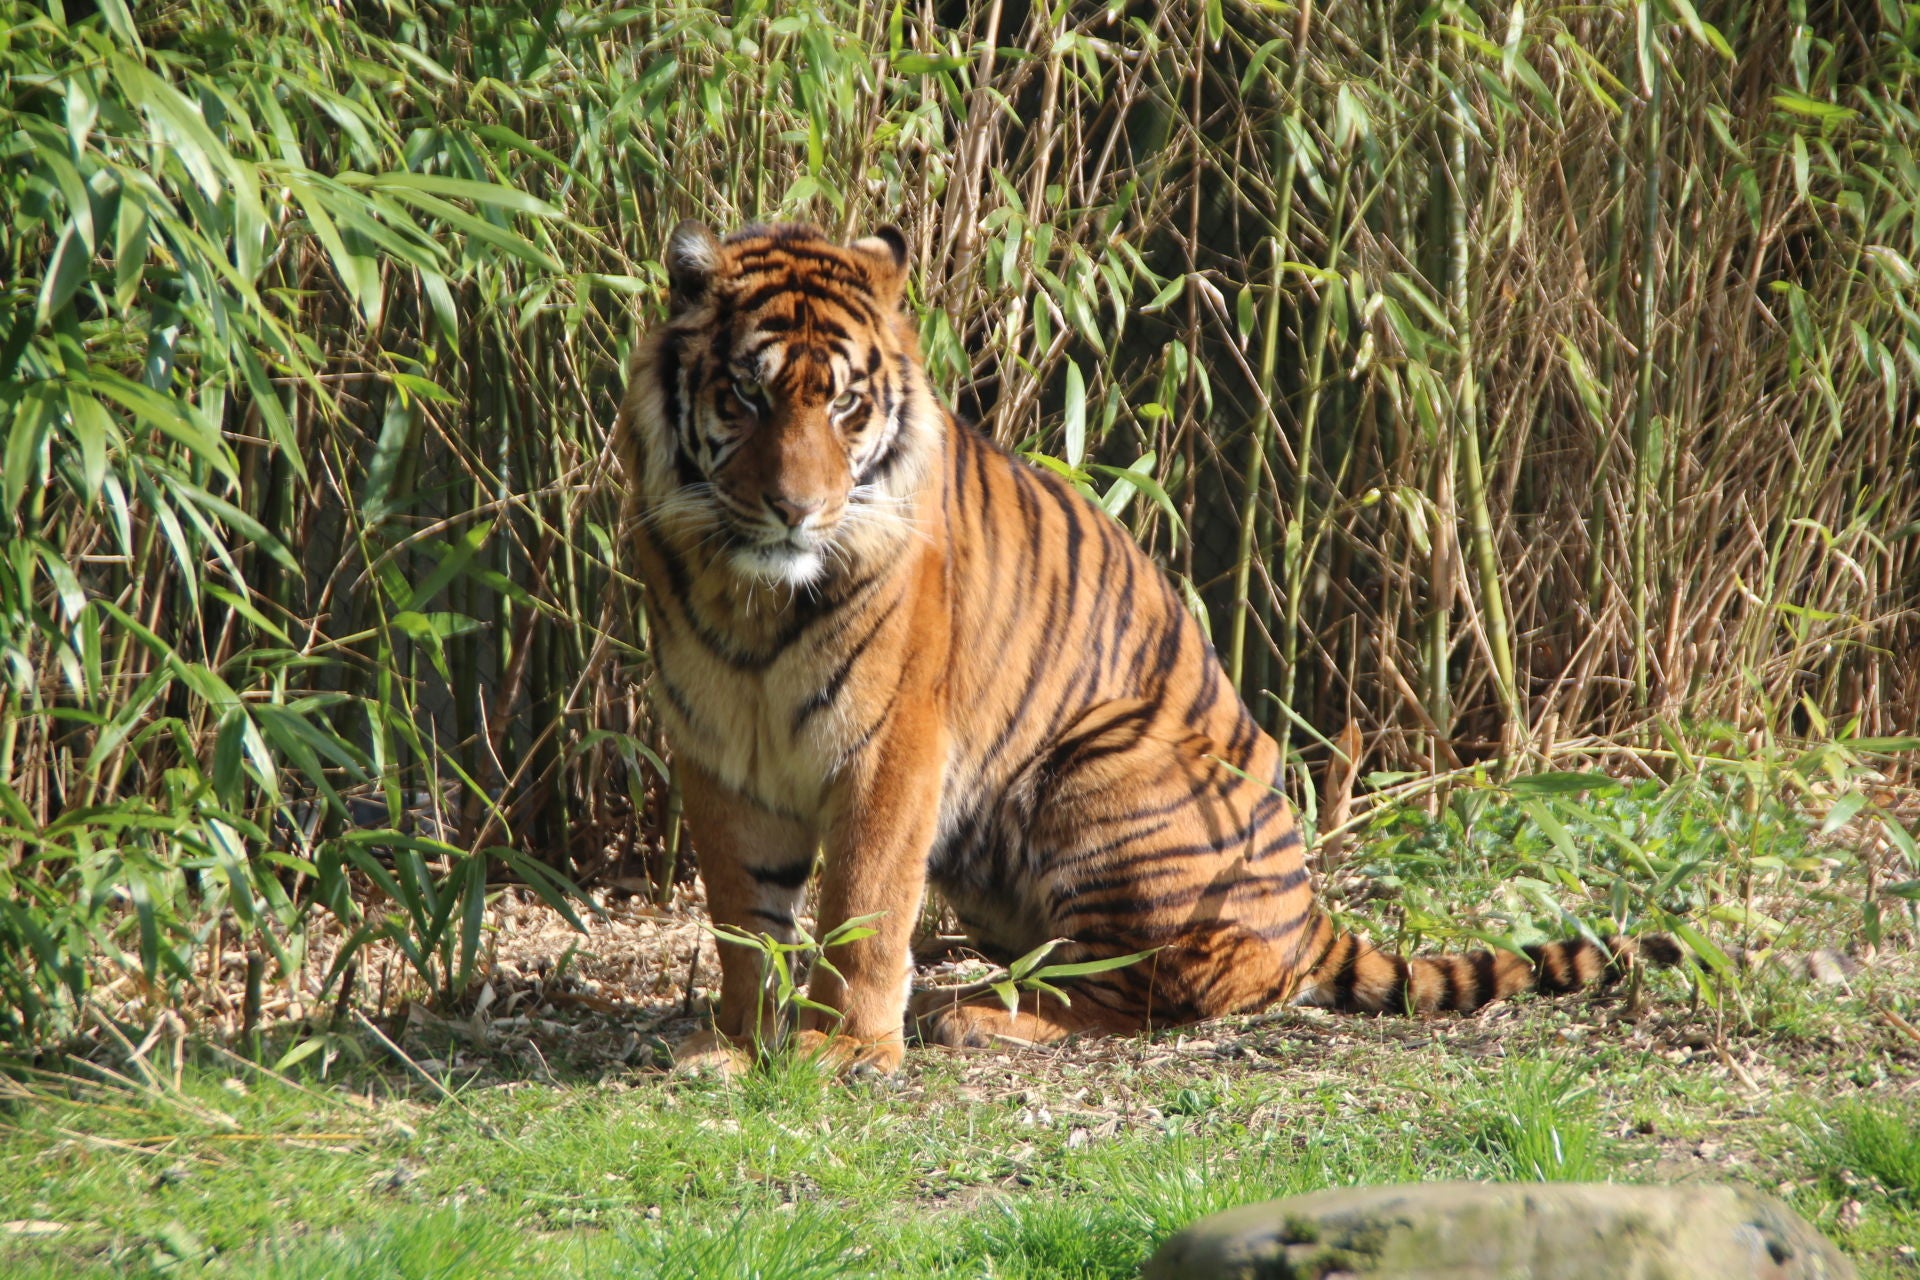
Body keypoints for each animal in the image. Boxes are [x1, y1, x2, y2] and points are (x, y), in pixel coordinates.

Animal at [613, 220, 1691, 1077]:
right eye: (746, 397)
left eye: (843, 406)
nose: (797, 509)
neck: (756, 596)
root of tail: (1312, 914)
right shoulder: (717, 750)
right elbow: (741, 914)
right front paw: (739, 1042)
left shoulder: (892, 748)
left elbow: (866, 904)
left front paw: (846, 1049)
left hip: (1098, 769)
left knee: (1143, 993)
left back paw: (971, 1017)